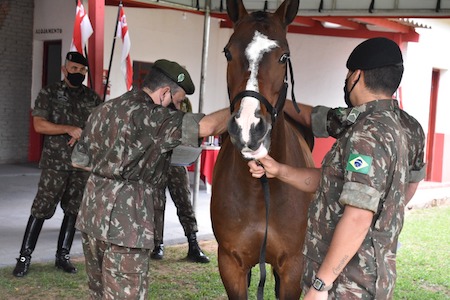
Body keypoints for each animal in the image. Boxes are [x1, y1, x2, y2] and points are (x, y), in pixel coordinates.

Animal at [210, 0, 312, 298]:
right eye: (228, 53)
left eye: (284, 57)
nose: (248, 127)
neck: (260, 190)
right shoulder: (231, 265)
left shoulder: (292, 269)